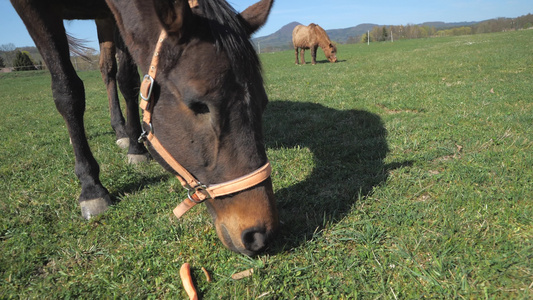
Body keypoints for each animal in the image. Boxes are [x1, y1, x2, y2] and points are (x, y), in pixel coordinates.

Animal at [11, 0, 278, 255]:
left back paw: (121, 132)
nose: (258, 234)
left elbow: (127, 80)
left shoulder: (114, 17)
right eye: (199, 105)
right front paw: (91, 187)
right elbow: (67, 91)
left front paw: (135, 148)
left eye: (263, 102)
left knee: (108, 70)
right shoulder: (32, 8)